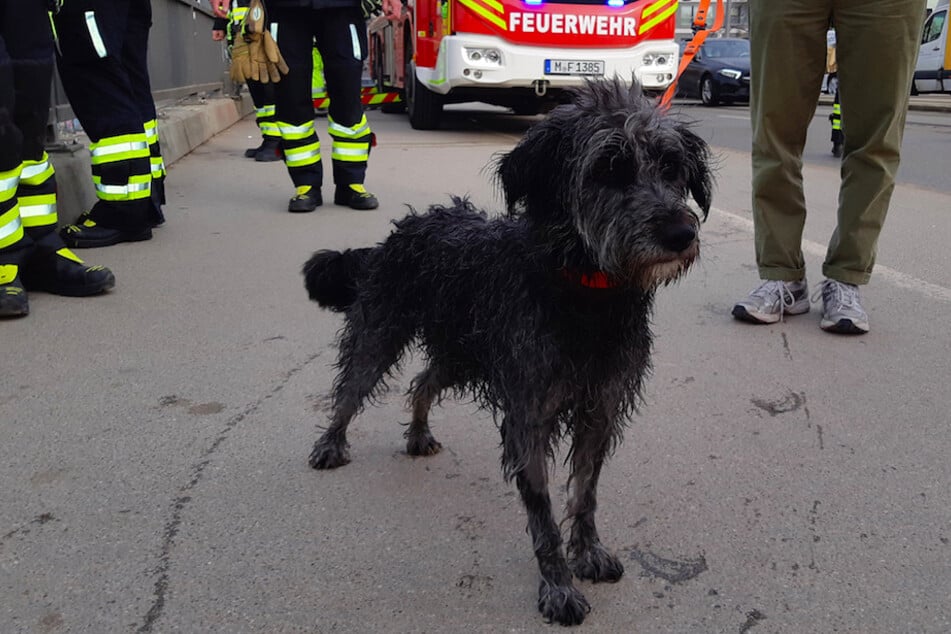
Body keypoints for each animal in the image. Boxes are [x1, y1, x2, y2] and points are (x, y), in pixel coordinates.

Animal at [302, 78, 712, 624]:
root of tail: (405, 228)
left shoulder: (599, 405)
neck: (585, 292)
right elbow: (543, 511)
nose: (680, 234)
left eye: (671, 167)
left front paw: (588, 553)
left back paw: (417, 433)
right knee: (352, 387)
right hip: (383, 331)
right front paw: (558, 586)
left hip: (460, 353)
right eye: (609, 168)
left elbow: (585, 491)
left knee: (423, 381)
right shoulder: (529, 412)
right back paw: (330, 443)